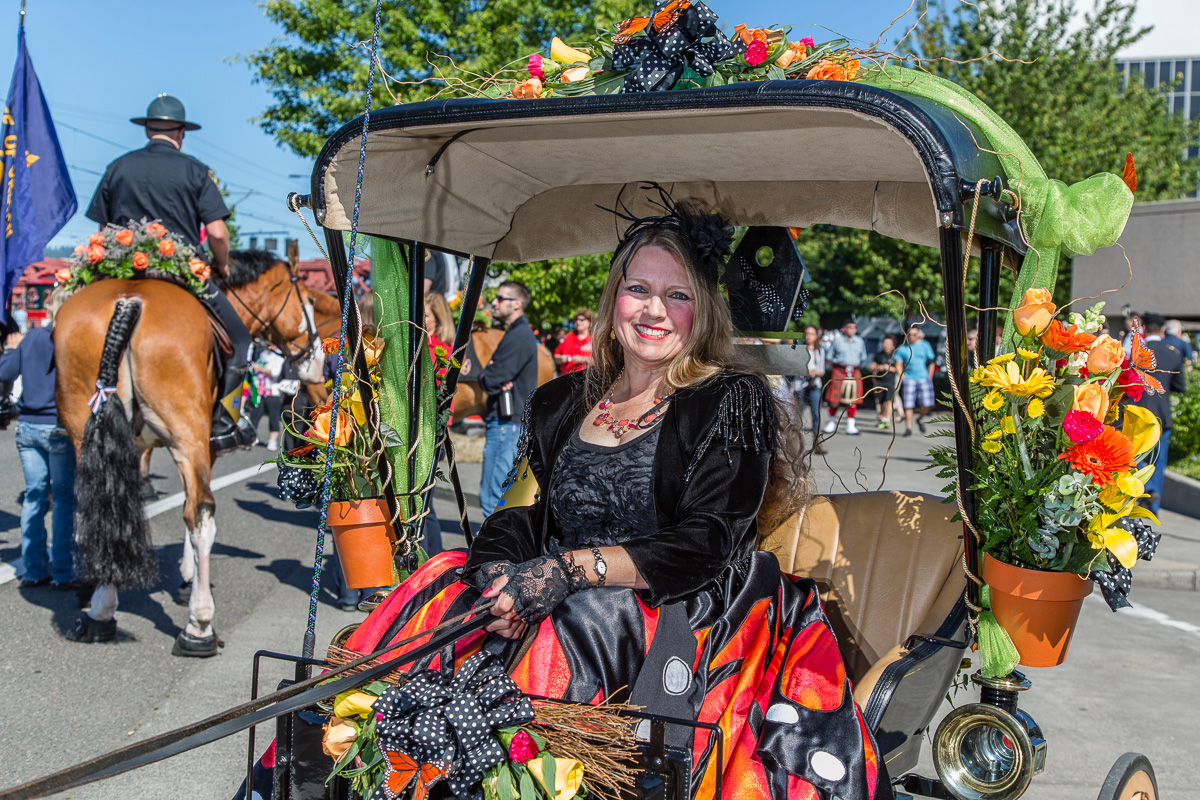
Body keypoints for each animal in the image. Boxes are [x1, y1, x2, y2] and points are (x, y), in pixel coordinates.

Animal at [54, 255, 321, 657]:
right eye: (307, 301)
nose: (316, 362)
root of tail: (129, 300)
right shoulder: (204, 446)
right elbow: (192, 515)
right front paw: (187, 578)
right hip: (187, 432)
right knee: (200, 514)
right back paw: (199, 627)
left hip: (82, 424)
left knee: (100, 506)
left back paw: (100, 610)